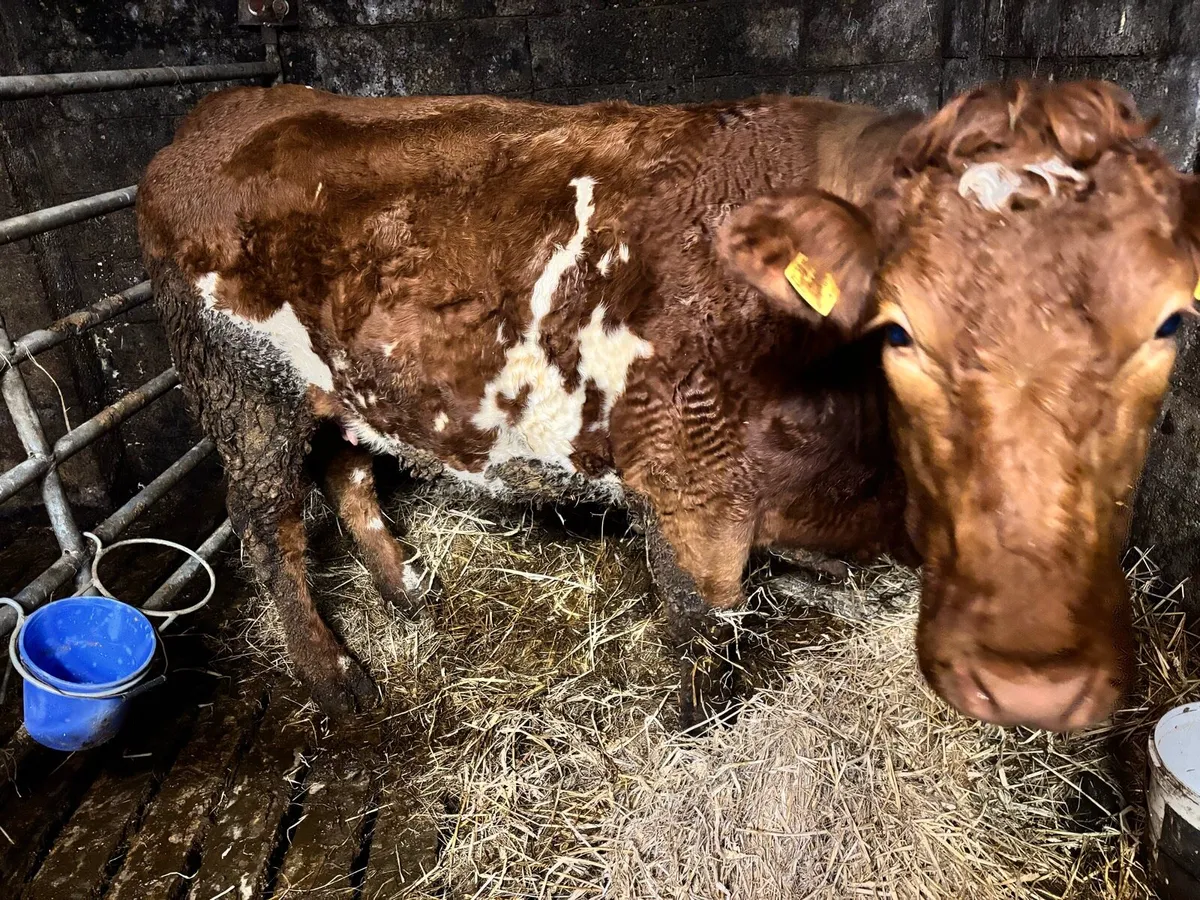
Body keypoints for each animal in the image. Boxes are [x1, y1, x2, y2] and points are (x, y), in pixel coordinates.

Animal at [137, 78, 1199, 733]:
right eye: (901, 327)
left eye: (1169, 322)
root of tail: (225, 108)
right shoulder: (692, 486)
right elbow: (705, 632)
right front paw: (699, 727)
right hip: (243, 393)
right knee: (268, 523)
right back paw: (335, 675)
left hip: (342, 384)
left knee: (351, 469)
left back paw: (409, 588)